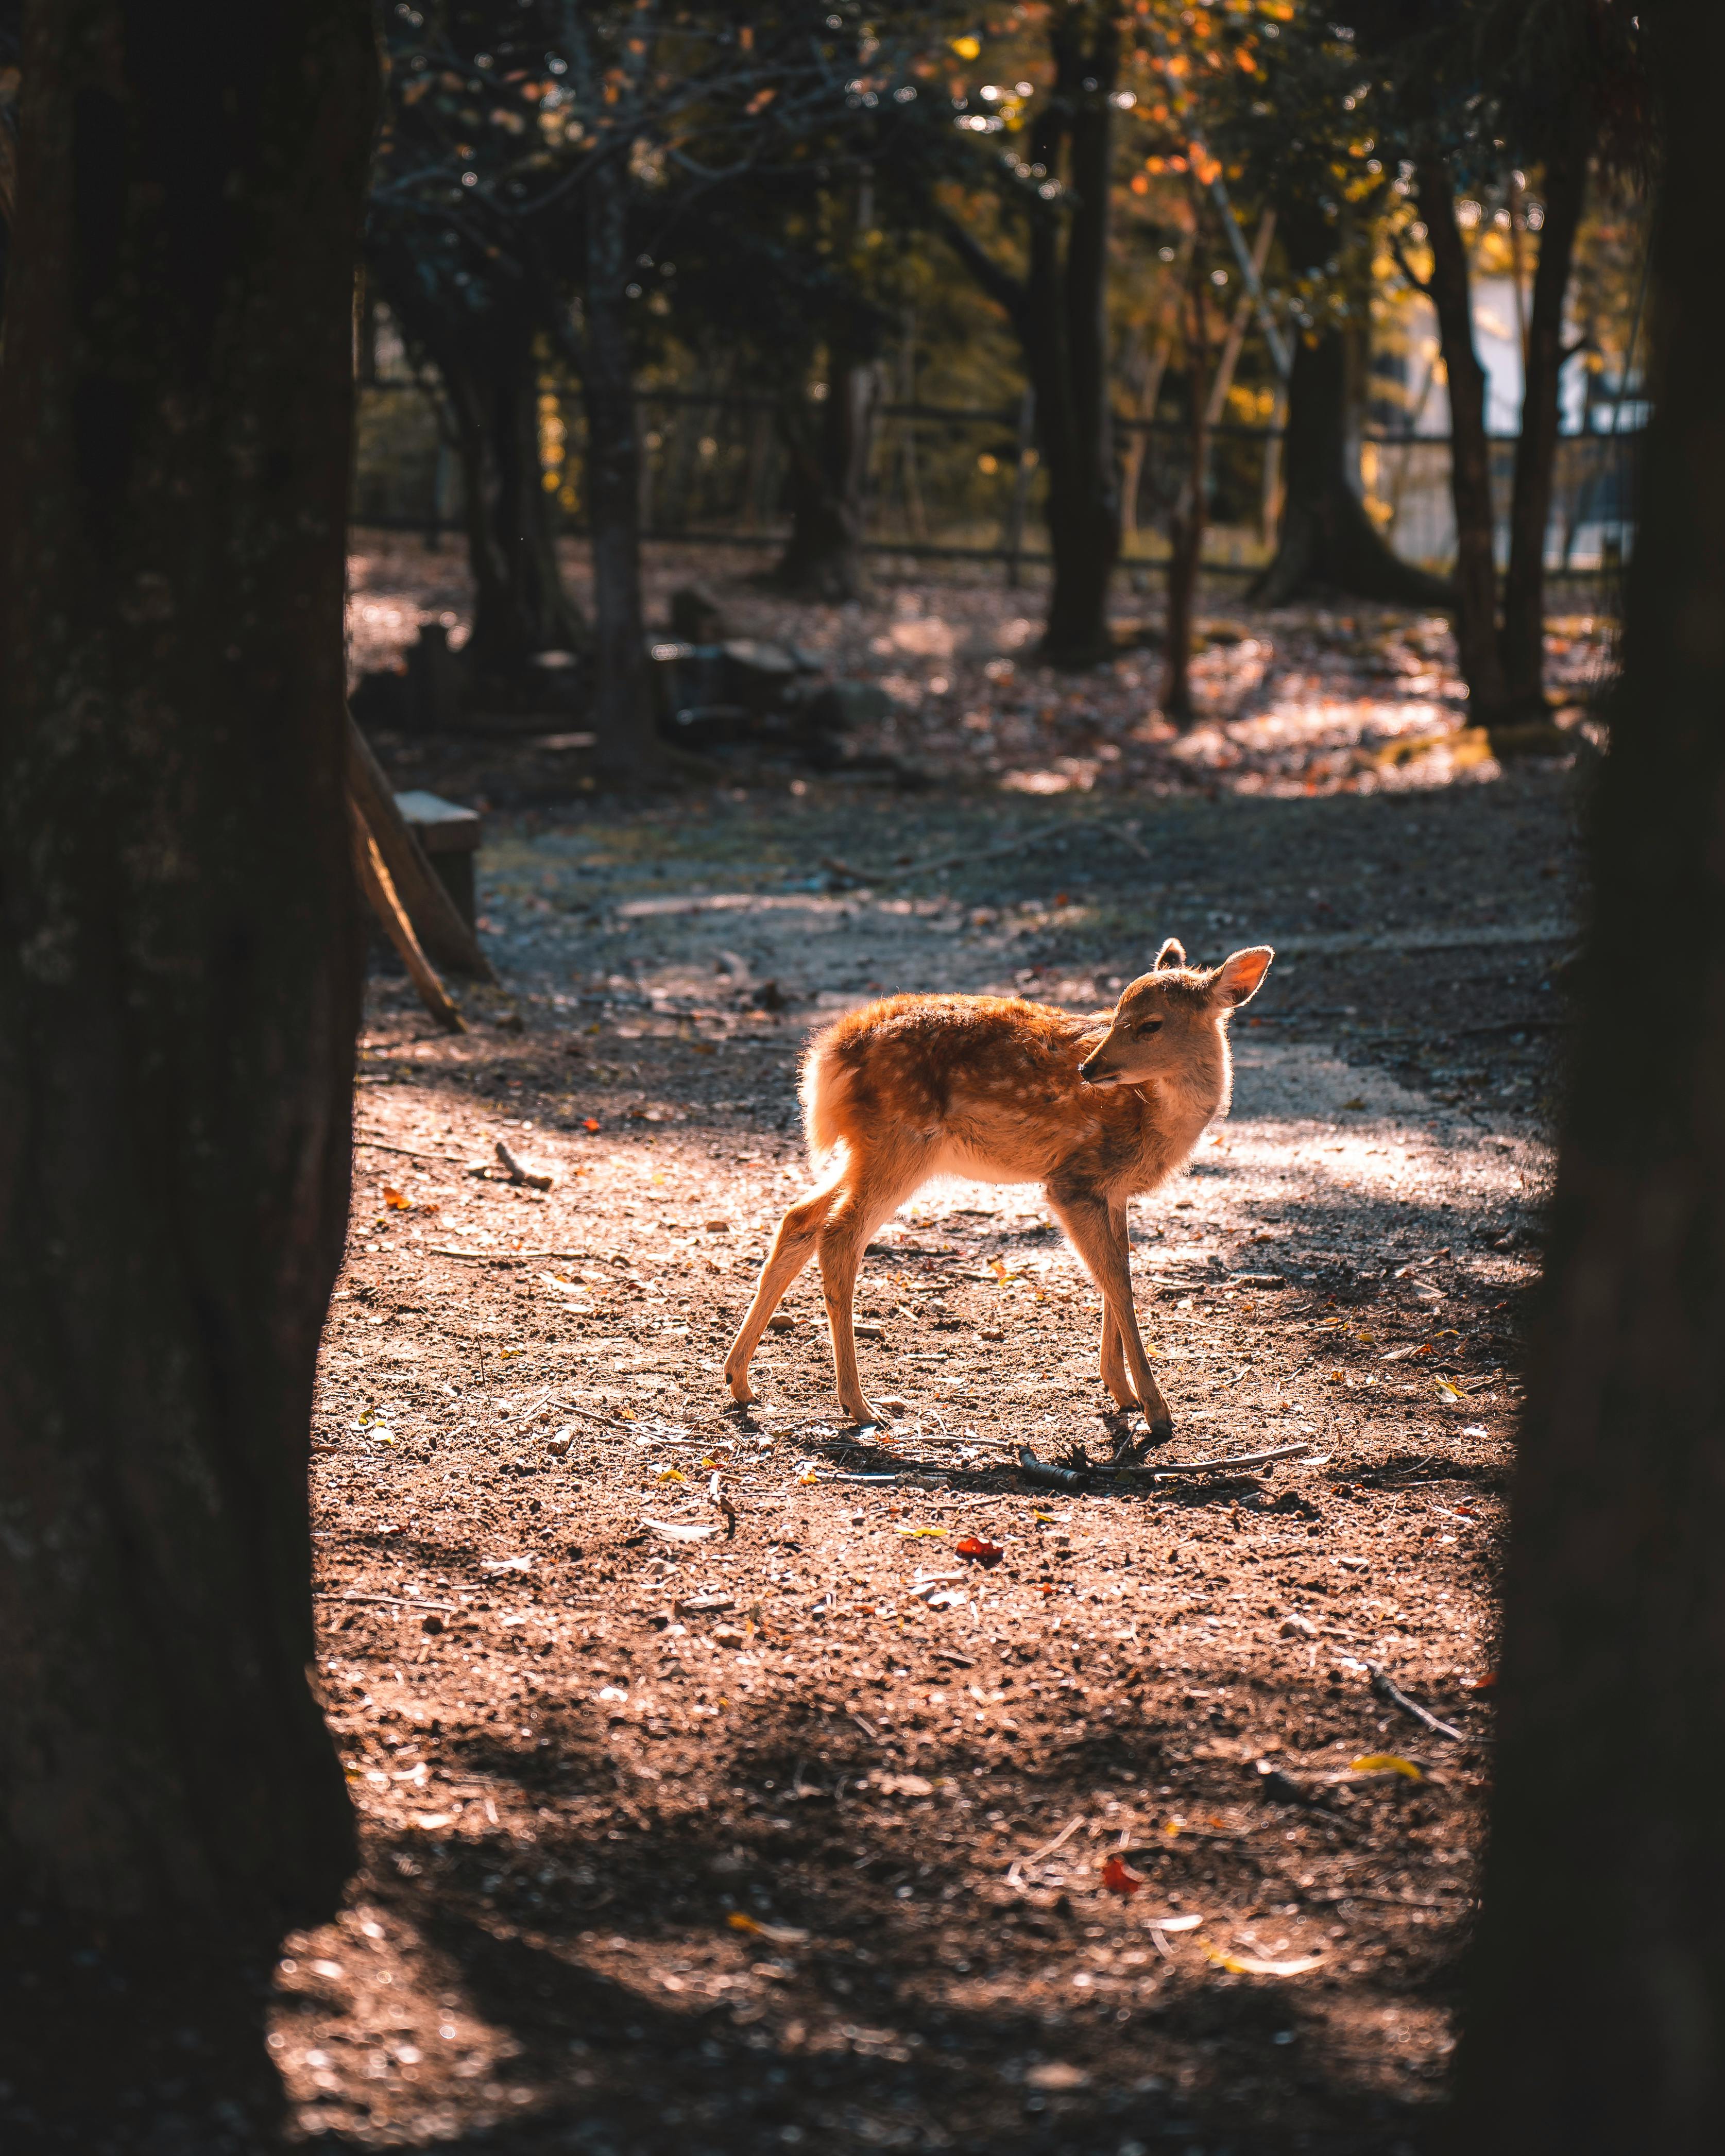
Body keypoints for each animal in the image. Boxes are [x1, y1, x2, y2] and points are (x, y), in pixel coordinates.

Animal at [723, 938, 1273, 1452]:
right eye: (1118, 1015)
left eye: (1150, 1024)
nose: (1088, 1070)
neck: (1155, 1113)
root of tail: (830, 1052)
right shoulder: (1072, 1181)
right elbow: (1116, 1280)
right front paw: (1156, 1412)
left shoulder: (1112, 1190)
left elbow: (1116, 1271)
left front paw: (1123, 1393)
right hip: (902, 1141)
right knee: (839, 1234)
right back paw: (859, 1406)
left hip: (870, 1148)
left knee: (799, 1217)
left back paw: (740, 1382)